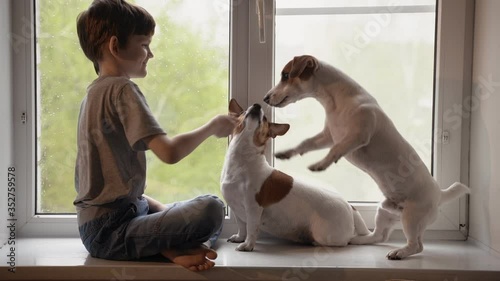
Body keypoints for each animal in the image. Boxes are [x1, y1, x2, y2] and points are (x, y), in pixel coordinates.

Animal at [221, 97, 370, 250]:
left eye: (265, 119)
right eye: (244, 111)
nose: (257, 106)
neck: (242, 163)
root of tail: (350, 208)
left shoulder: (253, 209)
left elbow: (251, 229)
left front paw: (247, 245)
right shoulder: (237, 210)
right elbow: (241, 227)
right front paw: (239, 238)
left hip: (325, 235)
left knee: (346, 240)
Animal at [264, 55, 470, 260]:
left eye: (286, 75)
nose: (265, 98)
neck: (338, 100)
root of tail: (440, 194)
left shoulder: (357, 136)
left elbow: (336, 149)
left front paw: (321, 164)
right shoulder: (327, 136)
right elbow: (306, 143)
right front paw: (287, 153)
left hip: (412, 218)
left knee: (416, 245)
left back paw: (399, 253)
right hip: (384, 211)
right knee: (379, 236)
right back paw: (358, 239)